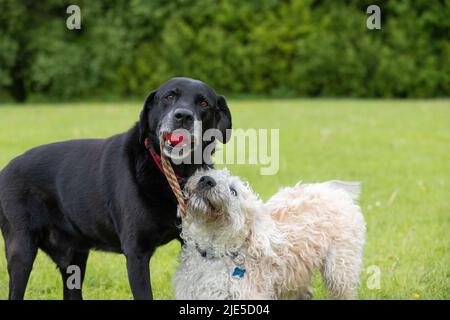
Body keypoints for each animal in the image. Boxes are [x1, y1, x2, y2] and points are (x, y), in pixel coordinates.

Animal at [0, 77, 232, 300]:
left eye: (203, 103)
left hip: (74, 257)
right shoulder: (136, 253)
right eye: (169, 97)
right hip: (21, 251)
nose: (183, 116)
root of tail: (5, 169)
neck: (176, 172)